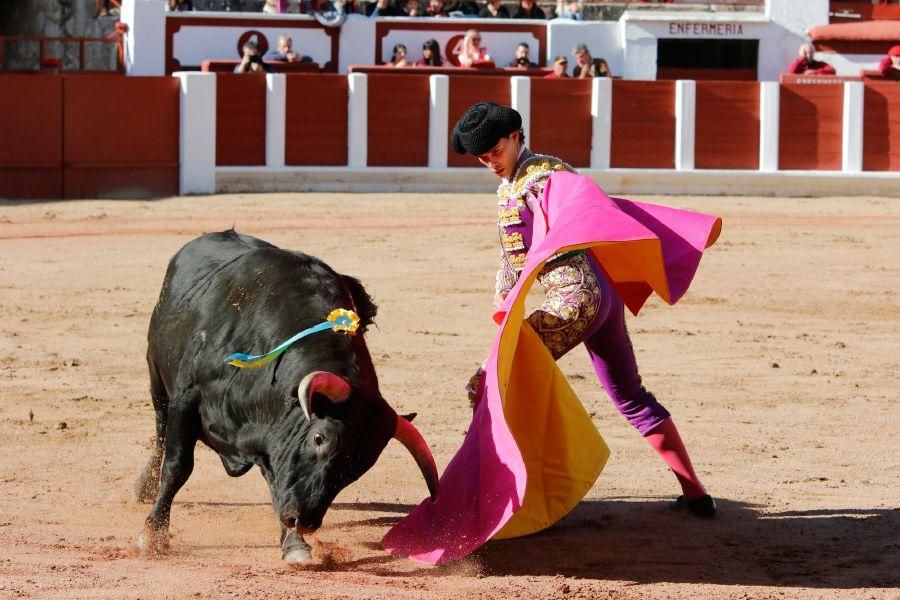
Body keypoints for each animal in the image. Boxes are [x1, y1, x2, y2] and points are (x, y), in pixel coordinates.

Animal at [134, 231, 440, 564]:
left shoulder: (276, 438)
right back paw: (144, 487)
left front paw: (294, 544)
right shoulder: (186, 401)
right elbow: (177, 467)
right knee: (160, 432)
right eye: (319, 438)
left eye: (361, 466)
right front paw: (152, 534)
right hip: (156, 377)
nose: (303, 521)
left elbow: (277, 484)